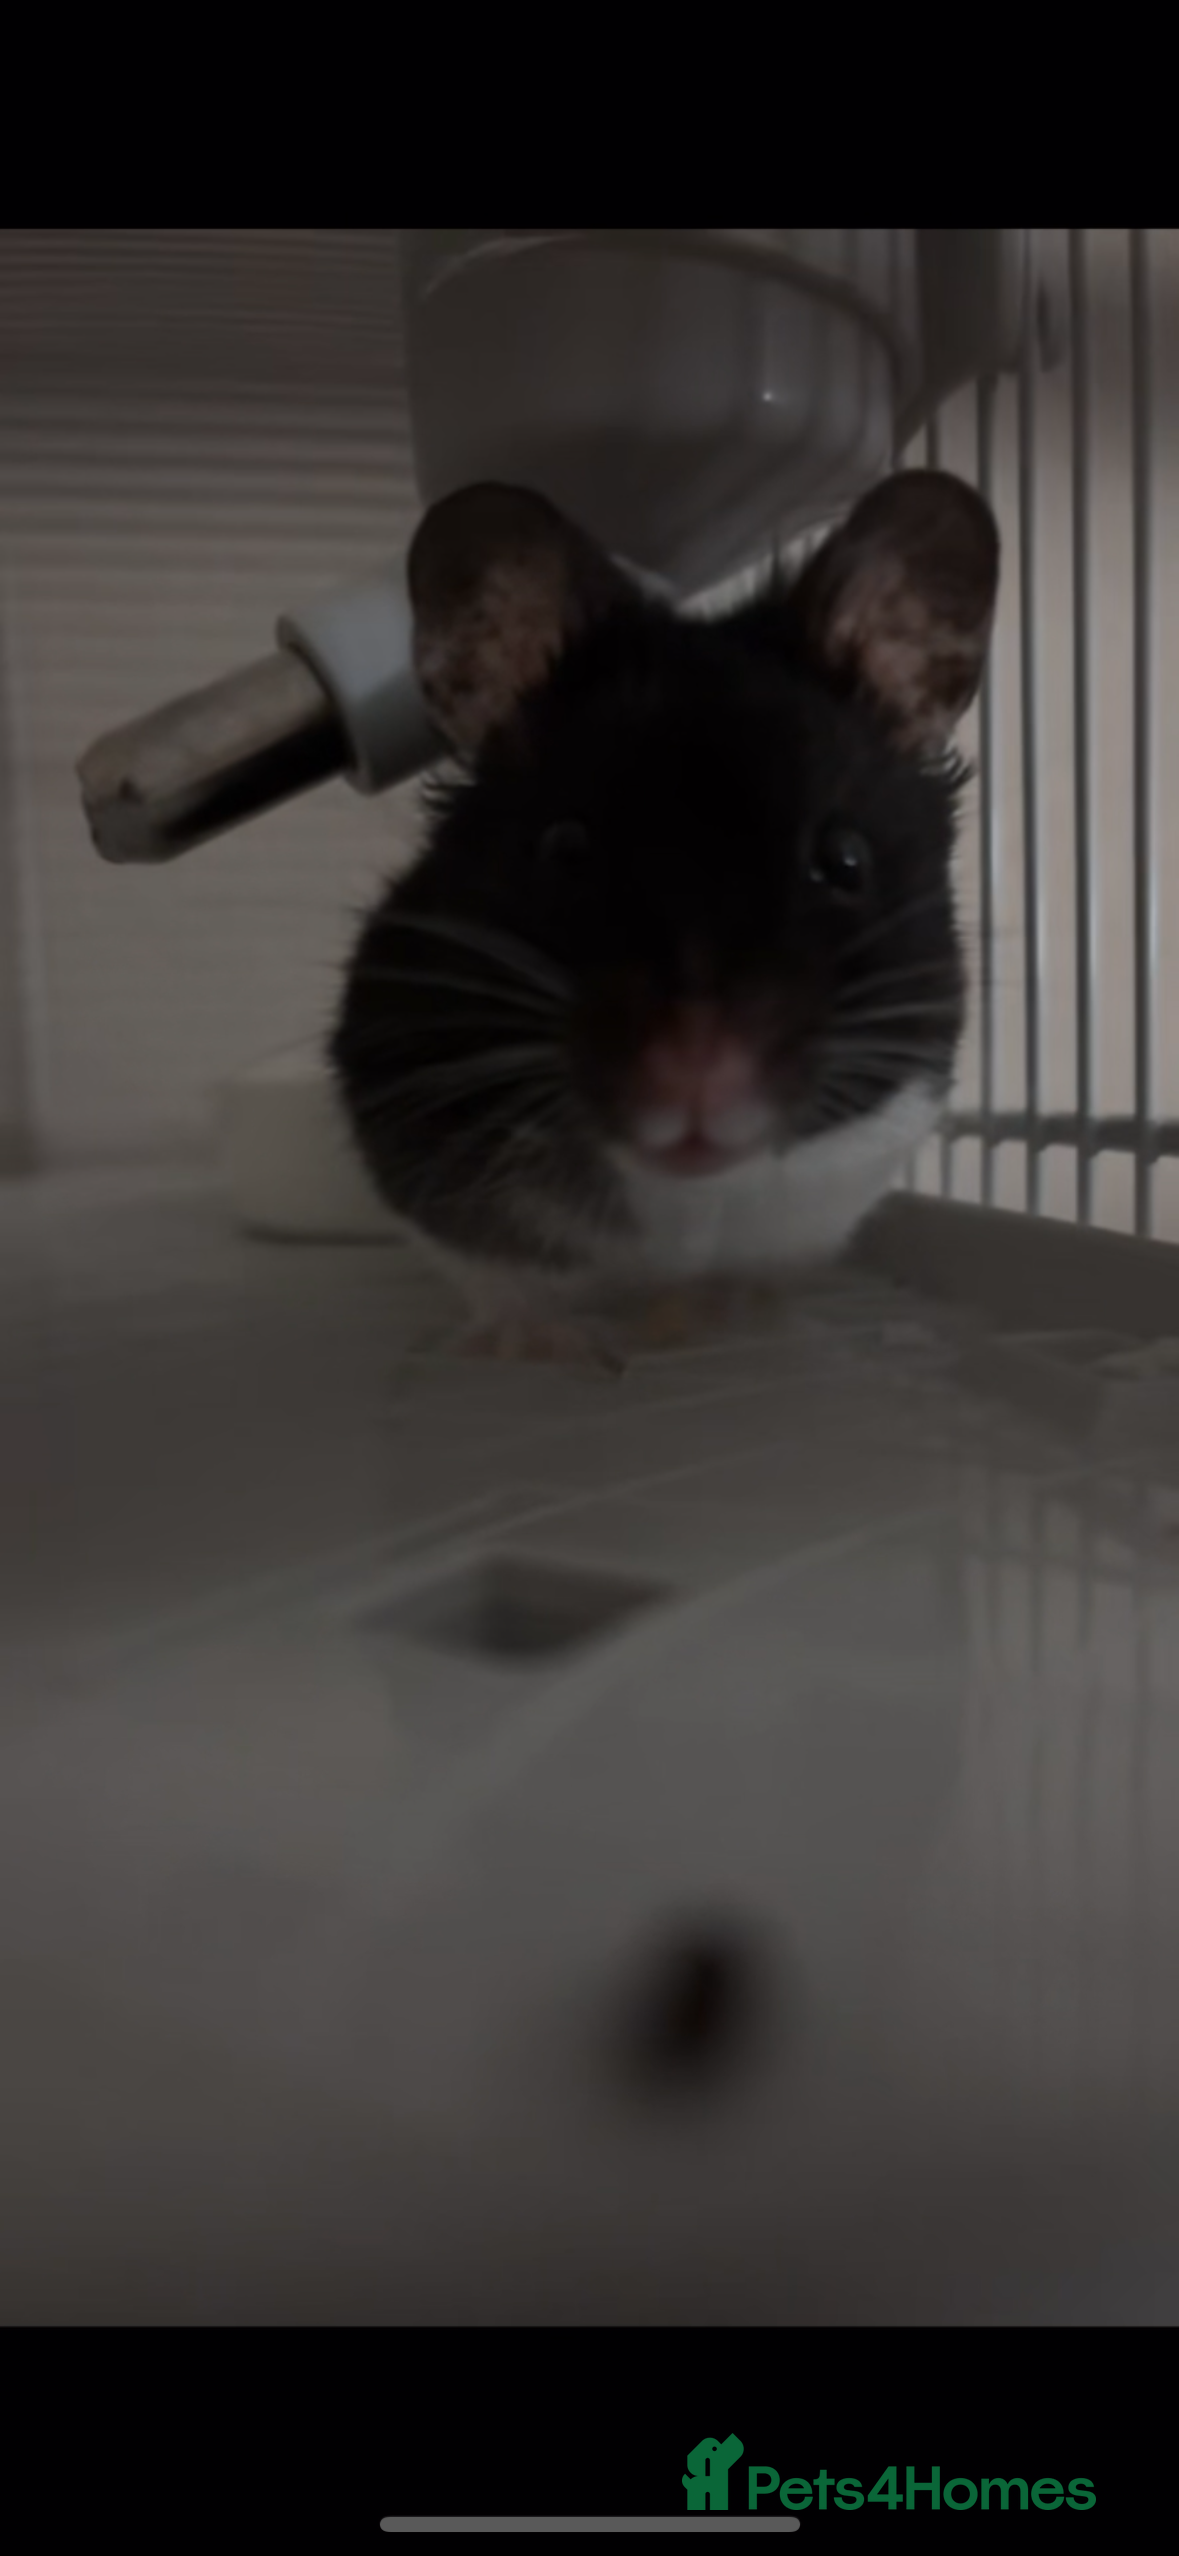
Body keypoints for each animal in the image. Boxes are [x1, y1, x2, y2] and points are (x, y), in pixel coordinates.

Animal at [331, 471, 999, 1358]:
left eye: (844, 859)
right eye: (564, 848)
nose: (695, 1073)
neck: (688, 1186)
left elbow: (752, 1276)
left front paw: (741, 1322)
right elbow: (499, 1274)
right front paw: (544, 1348)